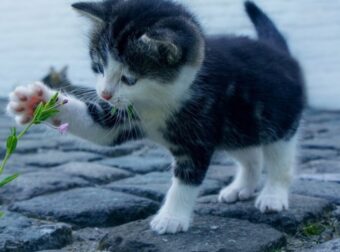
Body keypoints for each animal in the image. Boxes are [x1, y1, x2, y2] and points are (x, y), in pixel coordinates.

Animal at [7, 0, 306, 234]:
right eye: (98, 66)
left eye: (129, 78)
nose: (104, 94)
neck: (159, 100)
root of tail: (280, 52)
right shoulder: (123, 116)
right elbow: (98, 127)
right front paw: (35, 101)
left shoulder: (199, 133)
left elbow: (186, 178)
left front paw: (171, 218)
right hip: (237, 127)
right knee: (251, 155)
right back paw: (241, 187)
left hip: (278, 121)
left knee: (280, 160)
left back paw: (273, 195)